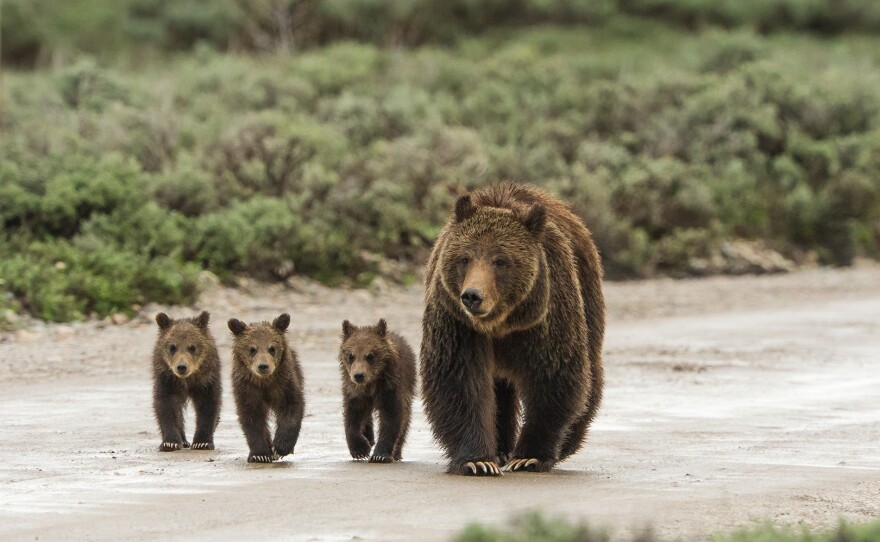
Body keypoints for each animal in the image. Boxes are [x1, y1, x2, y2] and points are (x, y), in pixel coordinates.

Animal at [152, 311, 222, 452]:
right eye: (172, 347)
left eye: (192, 347)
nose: (182, 367)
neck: (187, 380)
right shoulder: (167, 379)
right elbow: (166, 405)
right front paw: (170, 442)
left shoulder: (206, 379)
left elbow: (208, 405)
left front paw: (202, 442)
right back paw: (183, 441)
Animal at [228, 313, 305, 463]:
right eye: (252, 349)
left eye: (272, 348)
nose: (263, 366)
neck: (264, 382)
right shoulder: (247, 389)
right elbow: (251, 418)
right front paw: (260, 454)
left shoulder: (284, 384)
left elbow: (293, 408)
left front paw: (281, 447)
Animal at [338, 319, 417, 463]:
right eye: (351, 355)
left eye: (370, 355)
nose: (358, 375)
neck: (371, 384)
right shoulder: (354, 391)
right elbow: (352, 416)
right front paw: (360, 449)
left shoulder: (390, 388)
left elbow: (392, 417)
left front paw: (380, 455)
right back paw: (369, 437)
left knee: (406, 418)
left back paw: (397, 452)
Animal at [420, 183, 605, 476]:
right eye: (465, 258)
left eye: (501, 260)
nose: (472, 296)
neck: (501, 323)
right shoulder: (457, 323)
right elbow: (459, 381)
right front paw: (478, 460)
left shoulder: (545, 318)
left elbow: (553, 376)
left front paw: (529, 456)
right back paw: (500, 448)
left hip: (587, 295)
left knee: (590, 371)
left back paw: (568, 442)